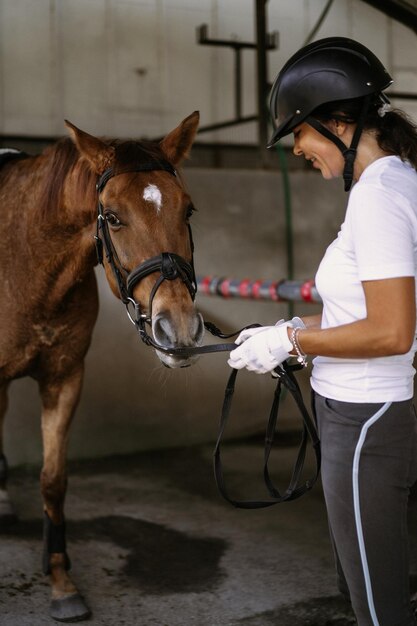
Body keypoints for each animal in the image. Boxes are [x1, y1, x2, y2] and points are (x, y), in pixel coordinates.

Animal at [0, 111, 203, 620]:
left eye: (188, 211)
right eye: (111, 216)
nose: (180, 329)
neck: (25, 259)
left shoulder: (66, 378)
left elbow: (54, 481)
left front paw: (61, 583)